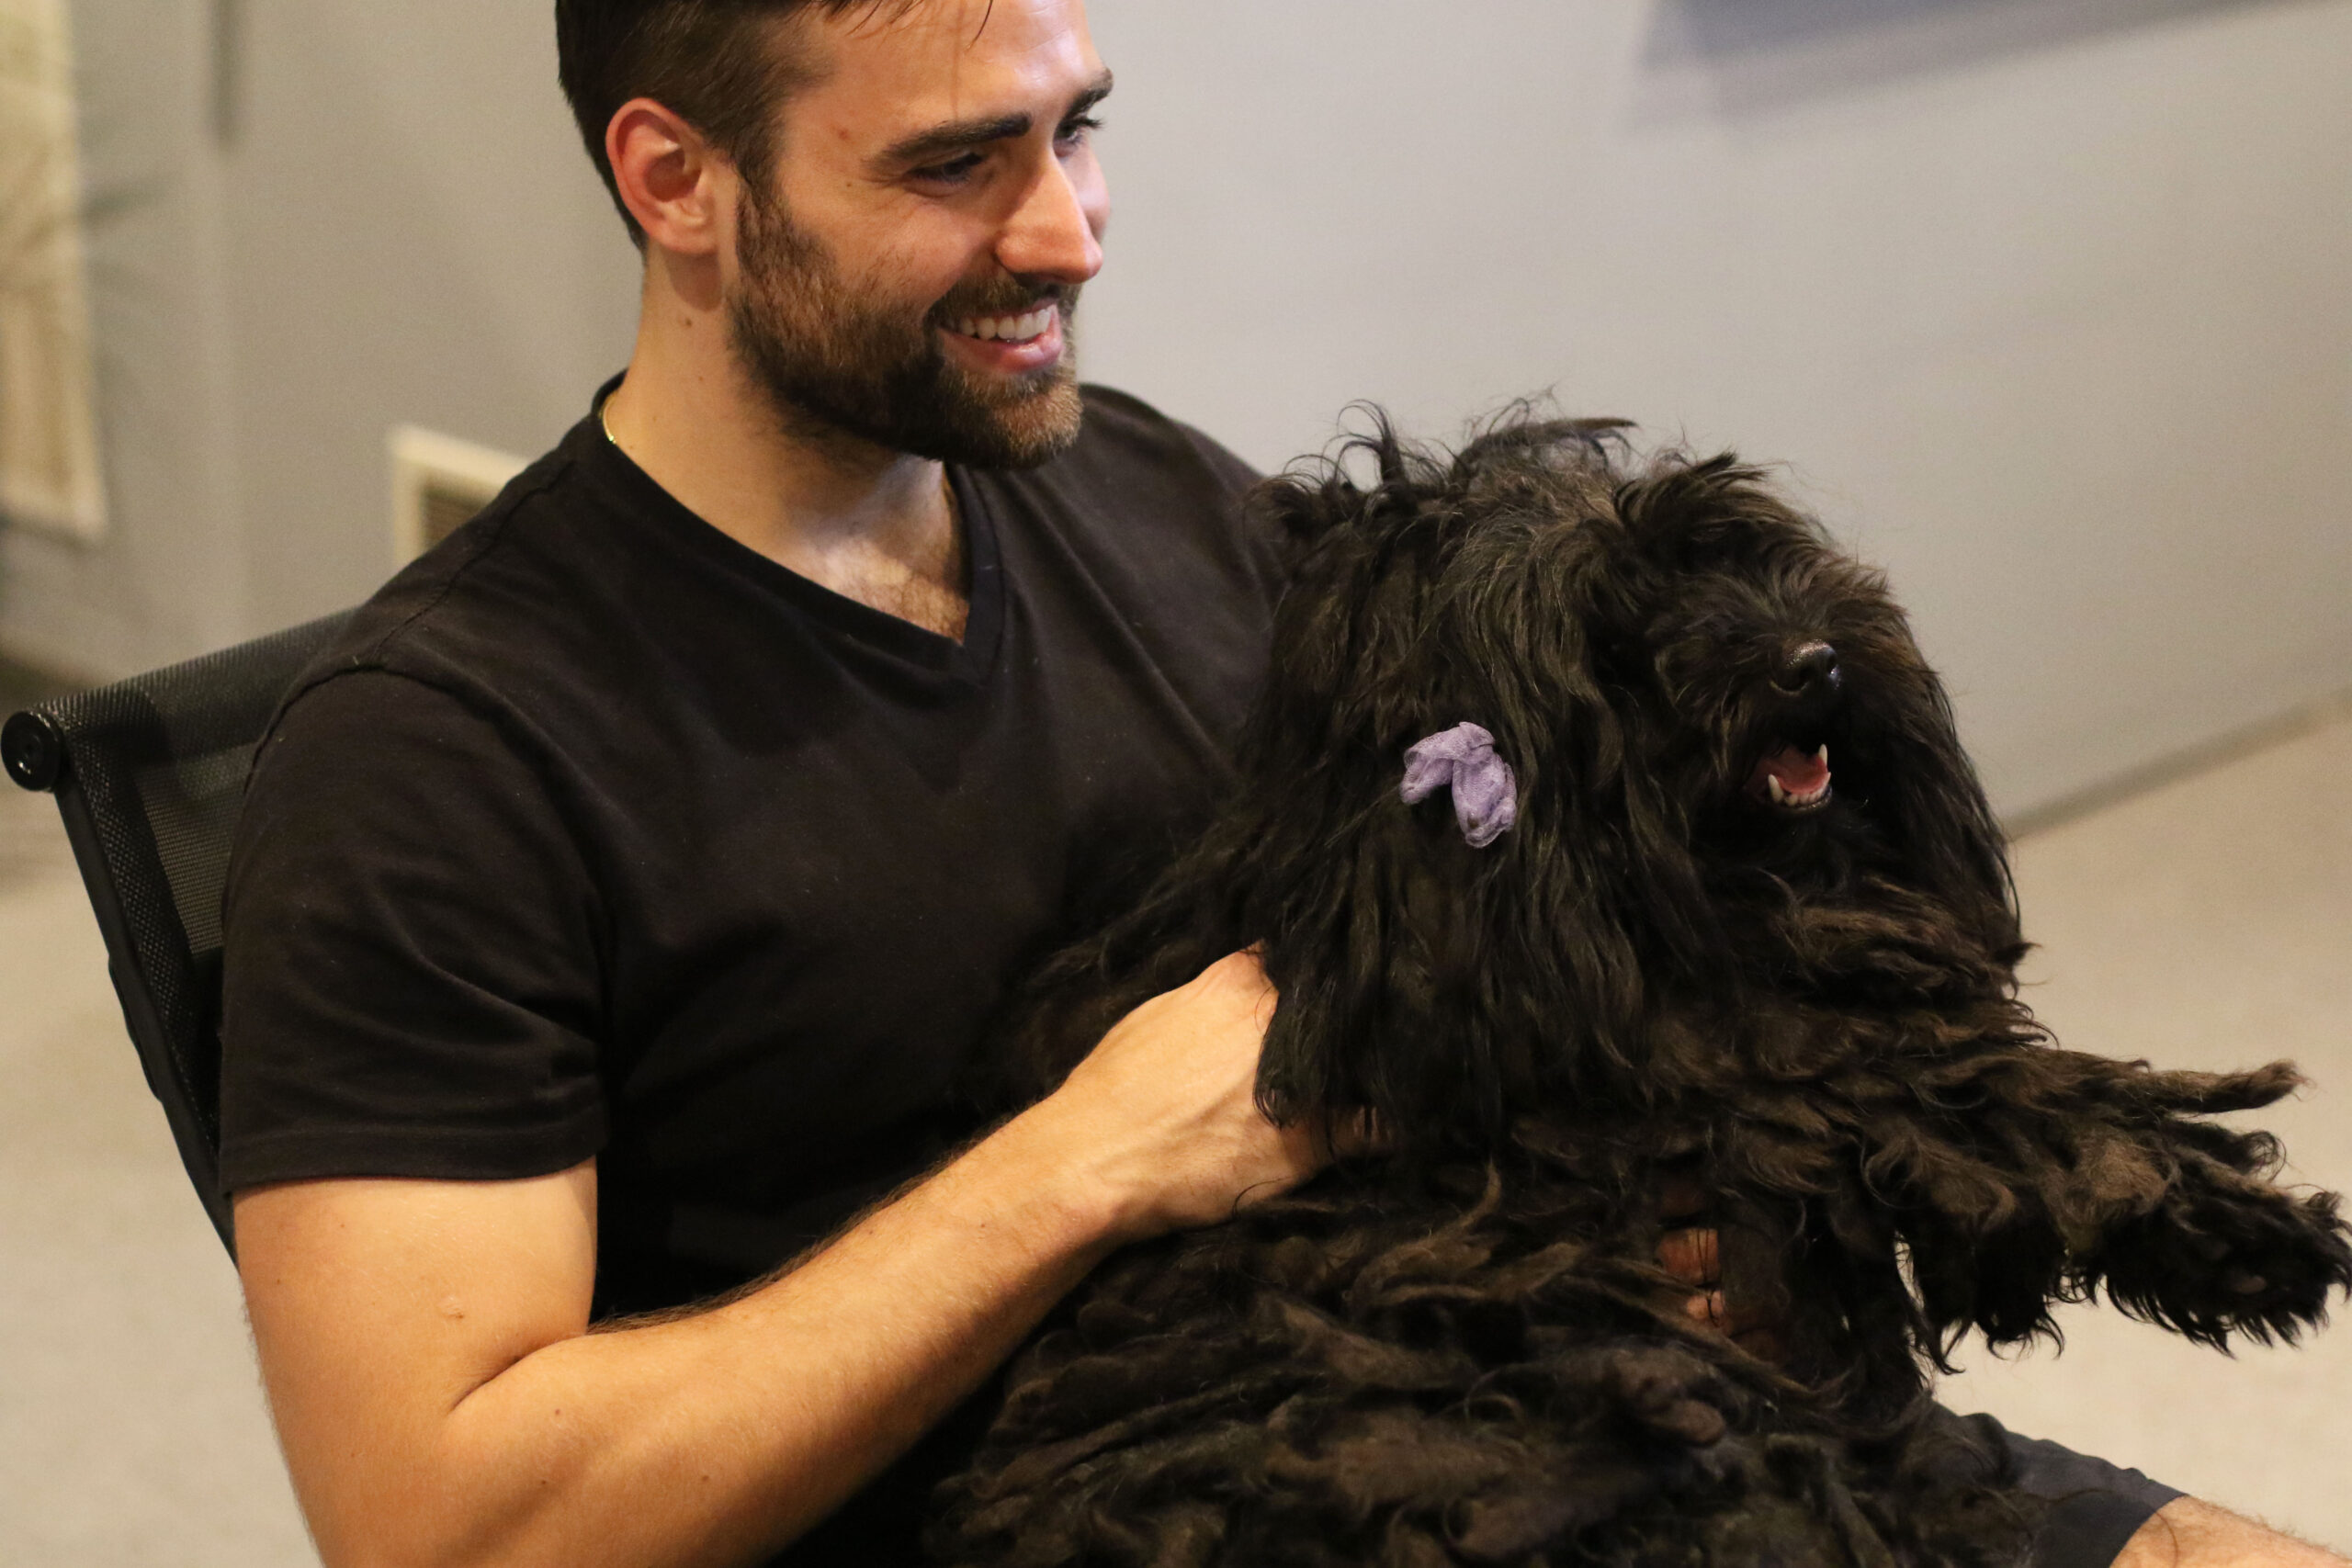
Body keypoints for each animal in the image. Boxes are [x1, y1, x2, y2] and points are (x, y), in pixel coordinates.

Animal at [926, 415, 2342, 1568]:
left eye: (1736, 555)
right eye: (1616, 632)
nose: (1811, 660)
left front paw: (2227, 1231)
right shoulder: (1708, 1065)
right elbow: (1936, 1077)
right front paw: (2204, 1210)